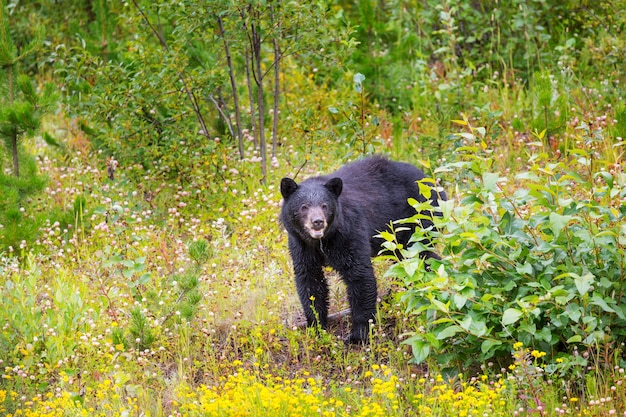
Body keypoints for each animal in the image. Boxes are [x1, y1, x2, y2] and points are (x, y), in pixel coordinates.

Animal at [278, 154, 444, 342]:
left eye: (324, 205)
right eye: (304, 206)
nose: (317, 222)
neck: (321, 241)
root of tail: (432, 182)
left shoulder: (349, 232)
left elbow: (359, 275)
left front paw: (358, 334)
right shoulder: (301, 245)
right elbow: (310, 281)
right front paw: (316, 328)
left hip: (419, 219)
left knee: (419, 256)